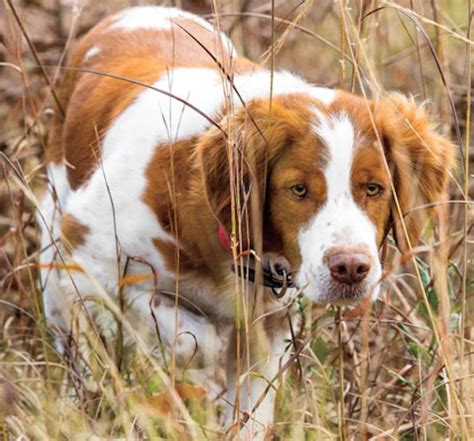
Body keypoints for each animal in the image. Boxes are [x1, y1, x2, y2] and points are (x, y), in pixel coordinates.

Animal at [39, 5, 456, 438]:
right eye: (298, 189)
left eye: (373, 188)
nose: (351, 268)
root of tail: (135, 11)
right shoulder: (85, 255)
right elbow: (190, 337)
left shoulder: (269, 329)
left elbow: (248, 408)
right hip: (51, 254)